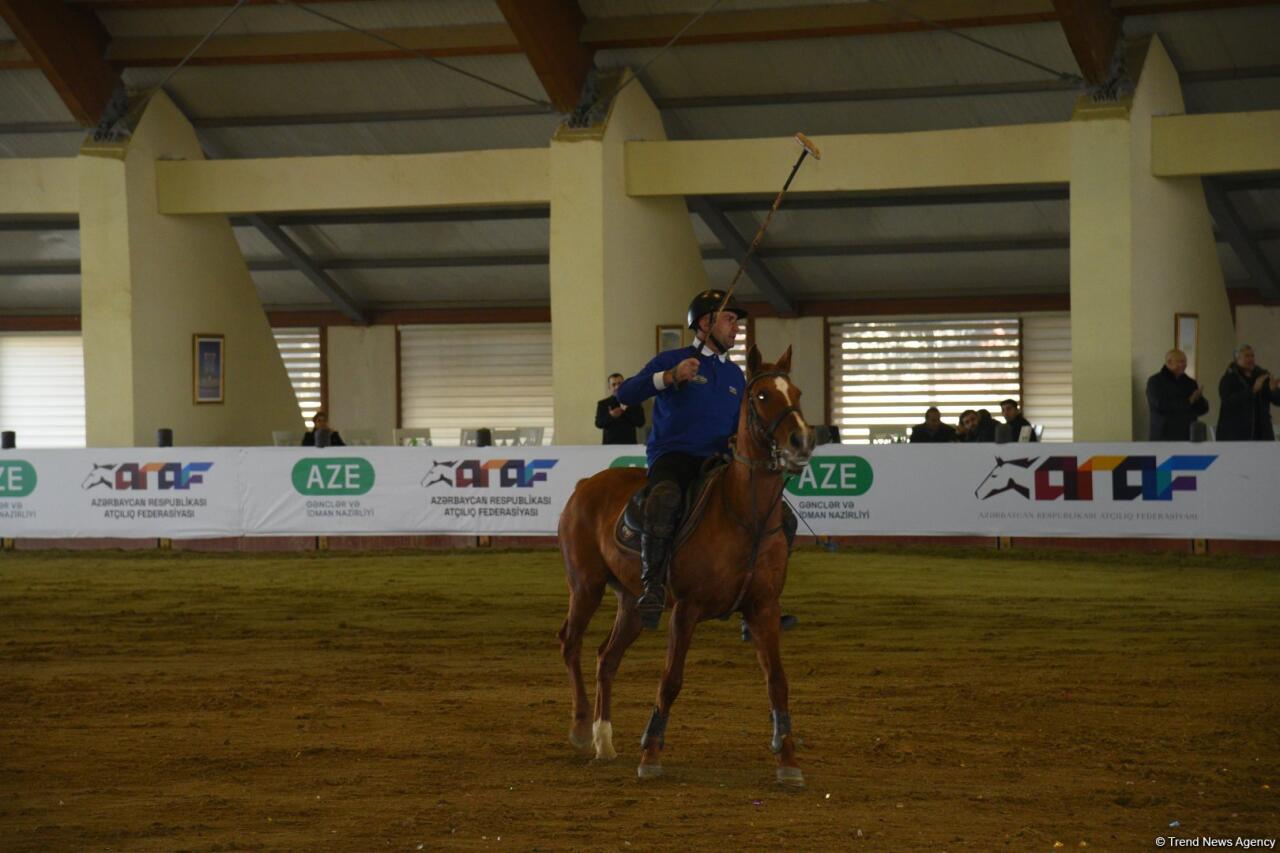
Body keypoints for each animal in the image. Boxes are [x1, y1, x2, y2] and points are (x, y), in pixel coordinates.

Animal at [555, 343, 814, 783]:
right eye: (762, 395)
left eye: (795, 393)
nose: (801, 440)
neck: (744, 516)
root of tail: (585, 484)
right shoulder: (686, 610)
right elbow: (671, 680)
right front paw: (650, 753)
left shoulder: (763, 607)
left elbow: (777, 681)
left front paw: (788, 760)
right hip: (585, 585)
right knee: (571, 643)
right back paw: (580, 727)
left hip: (634, 603)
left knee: (606, 658)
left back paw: (604, 741)